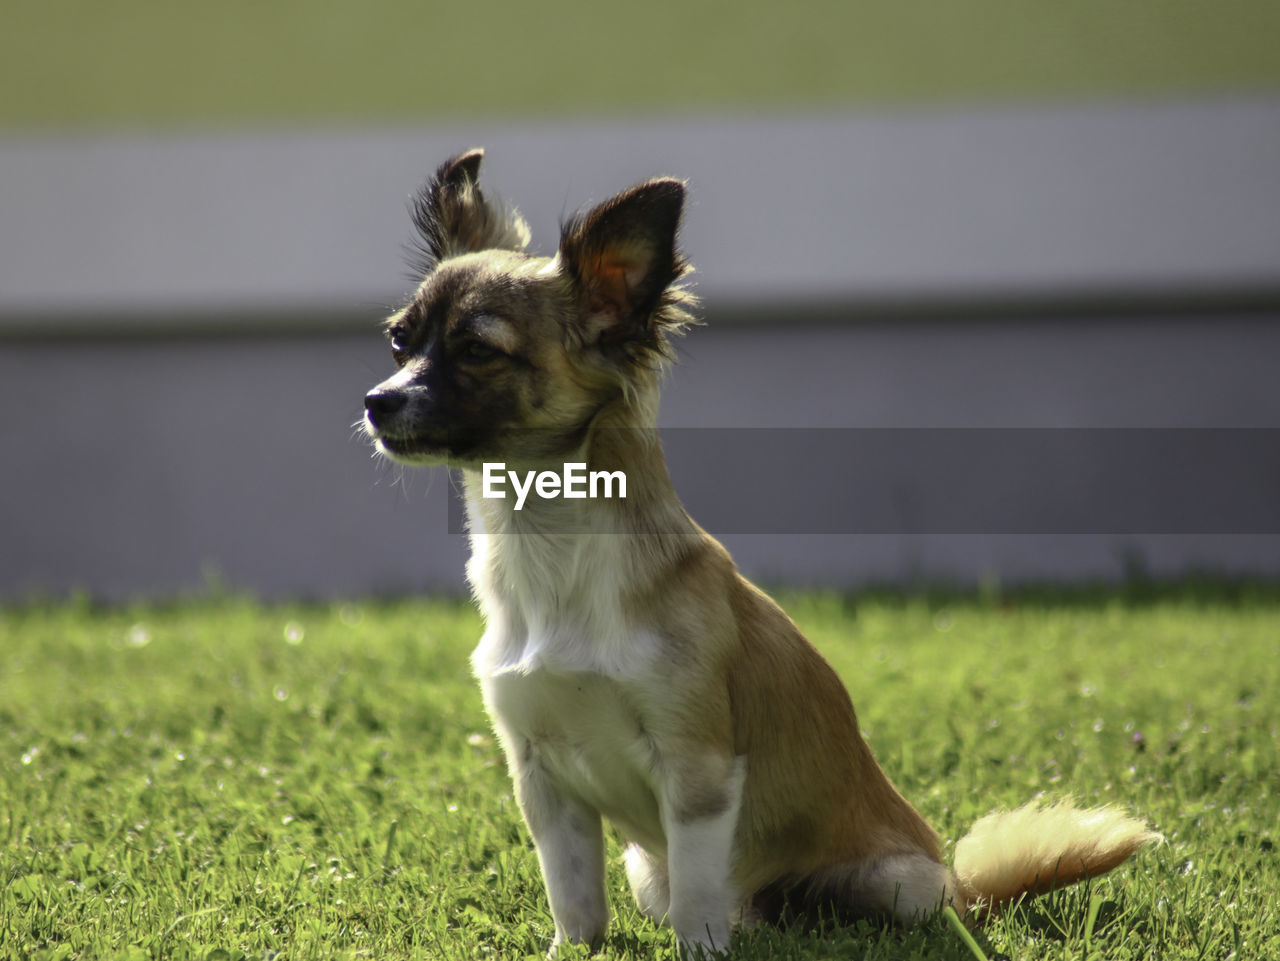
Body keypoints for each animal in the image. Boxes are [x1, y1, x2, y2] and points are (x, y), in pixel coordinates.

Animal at [363, 150, 1162, 957]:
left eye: (477, 350)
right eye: (400, 341)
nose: (377, 400)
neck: (549, 550)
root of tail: (967, 892)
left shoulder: (698, 769)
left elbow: (697, 899)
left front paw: (698, 951)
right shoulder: (543, 781)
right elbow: (575, 900)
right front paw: (570, 950)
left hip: (900, 884)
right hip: (645, 871)